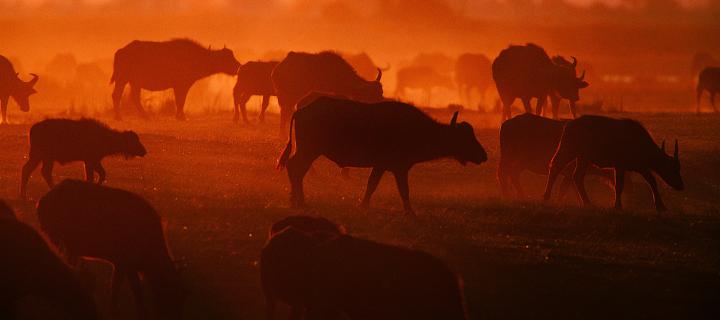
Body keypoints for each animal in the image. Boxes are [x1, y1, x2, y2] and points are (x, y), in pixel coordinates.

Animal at [19, 117, 147, 198]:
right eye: (134, 141)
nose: (144, 151)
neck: (104, 136)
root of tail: (33, 128)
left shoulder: (90, 161)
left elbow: (97, 175)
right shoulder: (91, 161)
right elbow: (95, 176)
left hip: (43, 158)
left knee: (37, 171)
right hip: (41, 156)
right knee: (35, 171)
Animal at [37, 180, 186, 320]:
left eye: (183, 294)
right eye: (172, 293)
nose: (177, 316)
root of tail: (44, 200)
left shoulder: (121, 264)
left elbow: (118, 287)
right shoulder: (126, 264)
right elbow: (132, 289)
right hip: (61, 241)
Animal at [109, 39, 239, 120]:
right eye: (228, 58)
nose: (238, 66)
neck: (196, 57)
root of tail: (121, 51)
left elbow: (180, 101)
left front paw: (179, 116)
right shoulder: (181, 85)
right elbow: (181, 100)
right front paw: (182, 117)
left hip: (133, 82)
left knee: (132, 97)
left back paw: (143, 116)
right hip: (123, 79)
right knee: (117, 95)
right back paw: (120, 117)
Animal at [544, 115, 684, 212]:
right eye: (674, 168)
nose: (681, 185)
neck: (641, 143)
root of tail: (569, 124)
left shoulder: (641, 167)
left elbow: (652, 181)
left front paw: (661, 206)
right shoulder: (620, 166)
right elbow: (619, 185)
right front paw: (617, 205)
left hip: (582, 157)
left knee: (576, 176)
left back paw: (587, 202)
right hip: (568, 151)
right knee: (556, 167)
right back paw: (547, 196)